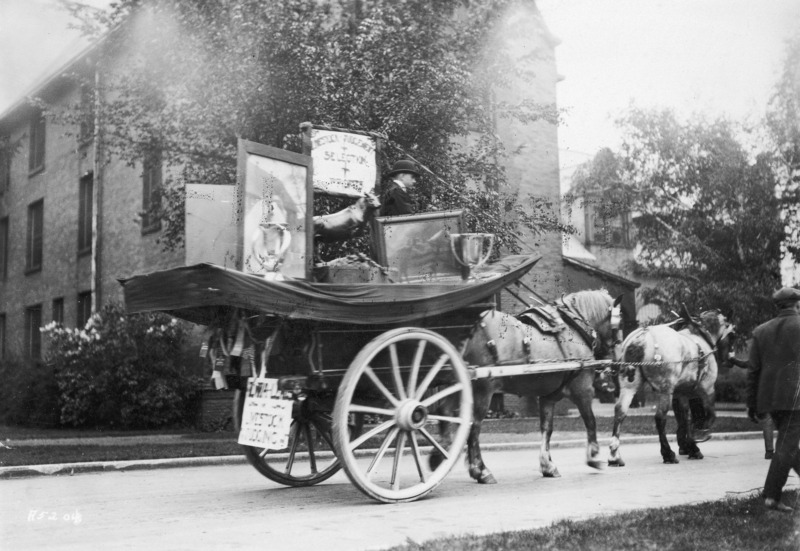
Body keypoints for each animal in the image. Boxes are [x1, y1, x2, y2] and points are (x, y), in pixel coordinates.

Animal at [434, 288, 620, 484]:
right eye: (618, 322)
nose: (615, 356)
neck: (575, 326)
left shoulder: (548, 397)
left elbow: (547, 429)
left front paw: (548, 465)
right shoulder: (583, 390)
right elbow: (590, 421)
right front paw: (594, 457)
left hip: (459, 385)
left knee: (445, 411)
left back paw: (439, 455)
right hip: (481, 391)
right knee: (474, 426)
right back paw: (481, 470)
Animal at [608, 310, 736, 466]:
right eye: (732, 335)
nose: (731, 360)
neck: (702, 336)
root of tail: (642, 337)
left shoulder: (682, 393)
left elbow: (685, 418)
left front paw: (691, 447)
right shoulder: (707, 388)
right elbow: (710, 414)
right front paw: (700, 433)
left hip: (629, 386)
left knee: (620, 412)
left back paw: (614, 455)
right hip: (666, 389)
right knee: (660, 417)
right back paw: (667, 453)